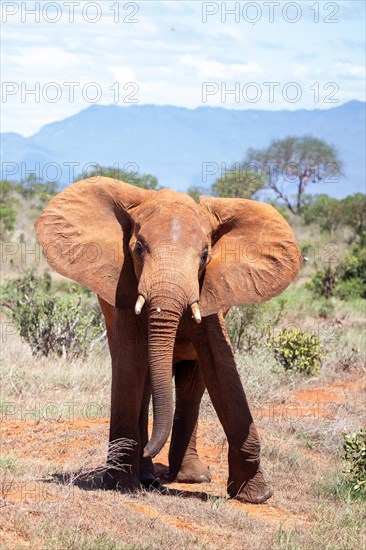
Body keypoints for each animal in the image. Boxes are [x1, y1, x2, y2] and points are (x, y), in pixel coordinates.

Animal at [35, 179, 302, 506]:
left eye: (205, 256)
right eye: (137, 248)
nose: (150, 446)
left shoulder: (209, 293)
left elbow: (222, 367)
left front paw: (256, 496)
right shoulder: (125, 286)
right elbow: (130, 363)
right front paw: (121, 485)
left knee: (191, 384)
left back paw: (189, 476)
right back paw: (148, 474)